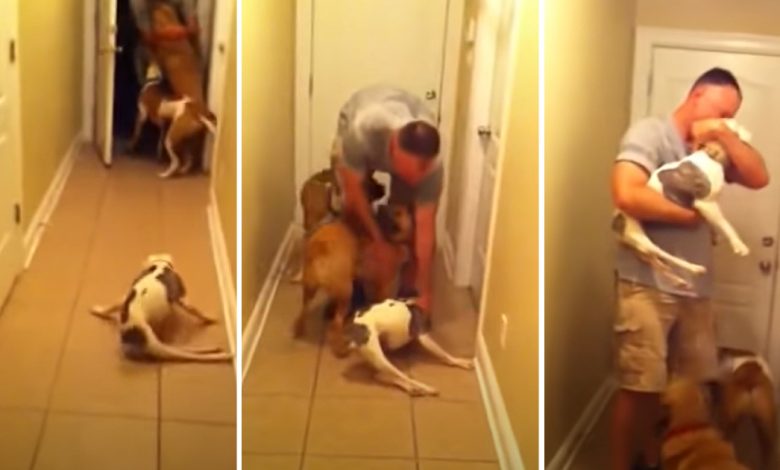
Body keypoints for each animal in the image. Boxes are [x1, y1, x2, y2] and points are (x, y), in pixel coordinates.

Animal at [90, 255, 232, 362]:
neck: (159, 265)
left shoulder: (124, 296)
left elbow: (112, 304)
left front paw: (99, 310)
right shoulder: (183, 297)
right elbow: (197, 311)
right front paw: (209, 318)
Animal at [342, 298, 470, 396]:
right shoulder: (424, 337)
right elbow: (446, 356)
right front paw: (460, 361)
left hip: (380, 359)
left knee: (381, 376)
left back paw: (412, 389)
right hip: (381, 358)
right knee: (404, 377)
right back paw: (425, 388)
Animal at [612, 119, 752, 290]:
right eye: (734, 126)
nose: (750, 134)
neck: (711, 155)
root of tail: (615, 221)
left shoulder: (710, 206)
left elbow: (715, 223)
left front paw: (714, 235)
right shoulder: (706, 203)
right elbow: (726, 225)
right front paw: (739, 246)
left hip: (638, 245)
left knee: (655, 261)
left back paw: (678, 280)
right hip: (637, 233)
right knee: (660, 252)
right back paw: (694, 268)